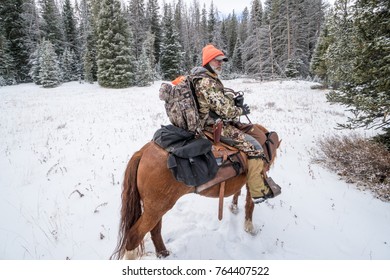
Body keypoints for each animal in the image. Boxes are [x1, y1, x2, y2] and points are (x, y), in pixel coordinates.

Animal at [111, 123, 278, 260]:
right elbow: (250, 204)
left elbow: (238, 193)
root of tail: (142, 152)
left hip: (155, 207)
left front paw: (234, 207)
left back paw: (164, 253)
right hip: (156, 207)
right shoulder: (255, 178)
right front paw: (250, 229)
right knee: (134, 236)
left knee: (155, 230)